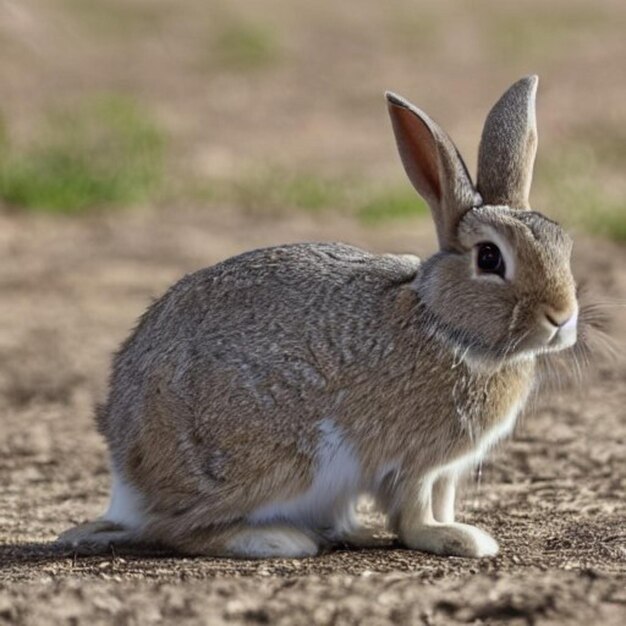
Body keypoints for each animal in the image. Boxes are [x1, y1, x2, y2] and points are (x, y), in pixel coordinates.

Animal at [58, 75, 576, 560]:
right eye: (489, 258)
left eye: (563, 242)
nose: (562, 317)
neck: (444, 324)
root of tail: (128, 480)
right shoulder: (411, 461)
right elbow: (414, 515)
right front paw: (456, 539)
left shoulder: (447, 470)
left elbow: (442, 500)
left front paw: (459, 530)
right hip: (278, 462)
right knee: (176, 529)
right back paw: (279, 540)